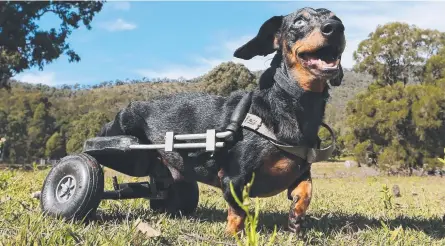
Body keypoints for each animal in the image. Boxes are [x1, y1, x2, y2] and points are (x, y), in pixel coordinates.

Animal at [99, 7, 346, 234]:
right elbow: (238, 211)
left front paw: (296, 219)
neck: (290, 103)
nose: (335, 27)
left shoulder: (301, 172)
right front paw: (234, 234)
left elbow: (306, 192)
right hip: (120, 135)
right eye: (299, 21)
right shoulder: (233, 178)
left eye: (336, 17)